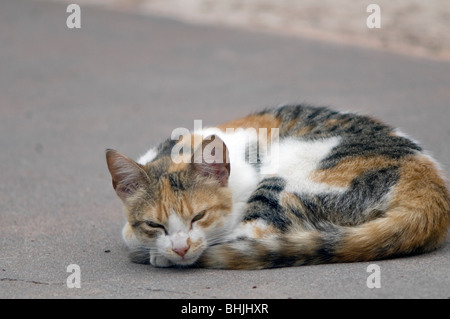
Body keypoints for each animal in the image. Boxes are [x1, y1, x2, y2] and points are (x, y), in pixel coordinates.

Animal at [106, 105, 450, 270]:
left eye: (199, 216)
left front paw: (156, 252)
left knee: (253, 235)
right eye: (154, 224)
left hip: (286, 176)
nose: (179, 248)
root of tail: (431, 186)